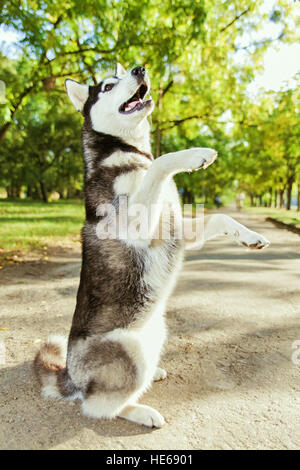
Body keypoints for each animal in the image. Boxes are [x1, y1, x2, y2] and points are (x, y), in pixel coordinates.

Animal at [34, 62, 270, 426]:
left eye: (123, 72)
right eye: (107, 85)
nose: (139, 68)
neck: (130, 153)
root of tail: (72, 376)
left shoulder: (178, 229)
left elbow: (219, 217)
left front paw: (250, 236)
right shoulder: (138, 225)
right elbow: (162, 161)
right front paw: (195, 154)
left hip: (157, 328)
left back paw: (153, 376)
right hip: (129, 350)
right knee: (97, 407)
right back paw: (141, 412)